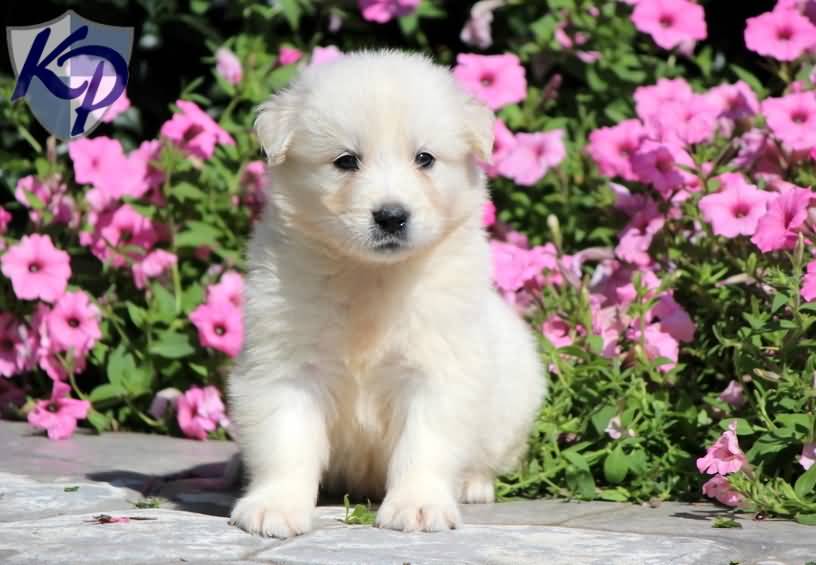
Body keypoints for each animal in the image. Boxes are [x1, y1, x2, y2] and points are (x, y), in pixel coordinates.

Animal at [230, 49, 544, 536]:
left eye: (425, 159)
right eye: (346, 161)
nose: (392, 217)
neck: (370, 275)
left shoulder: (437, 368)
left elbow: (424, 443)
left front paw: (418, 505)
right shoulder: (285, 364)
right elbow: (285, 439)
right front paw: (275, 506)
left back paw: (472, 484)